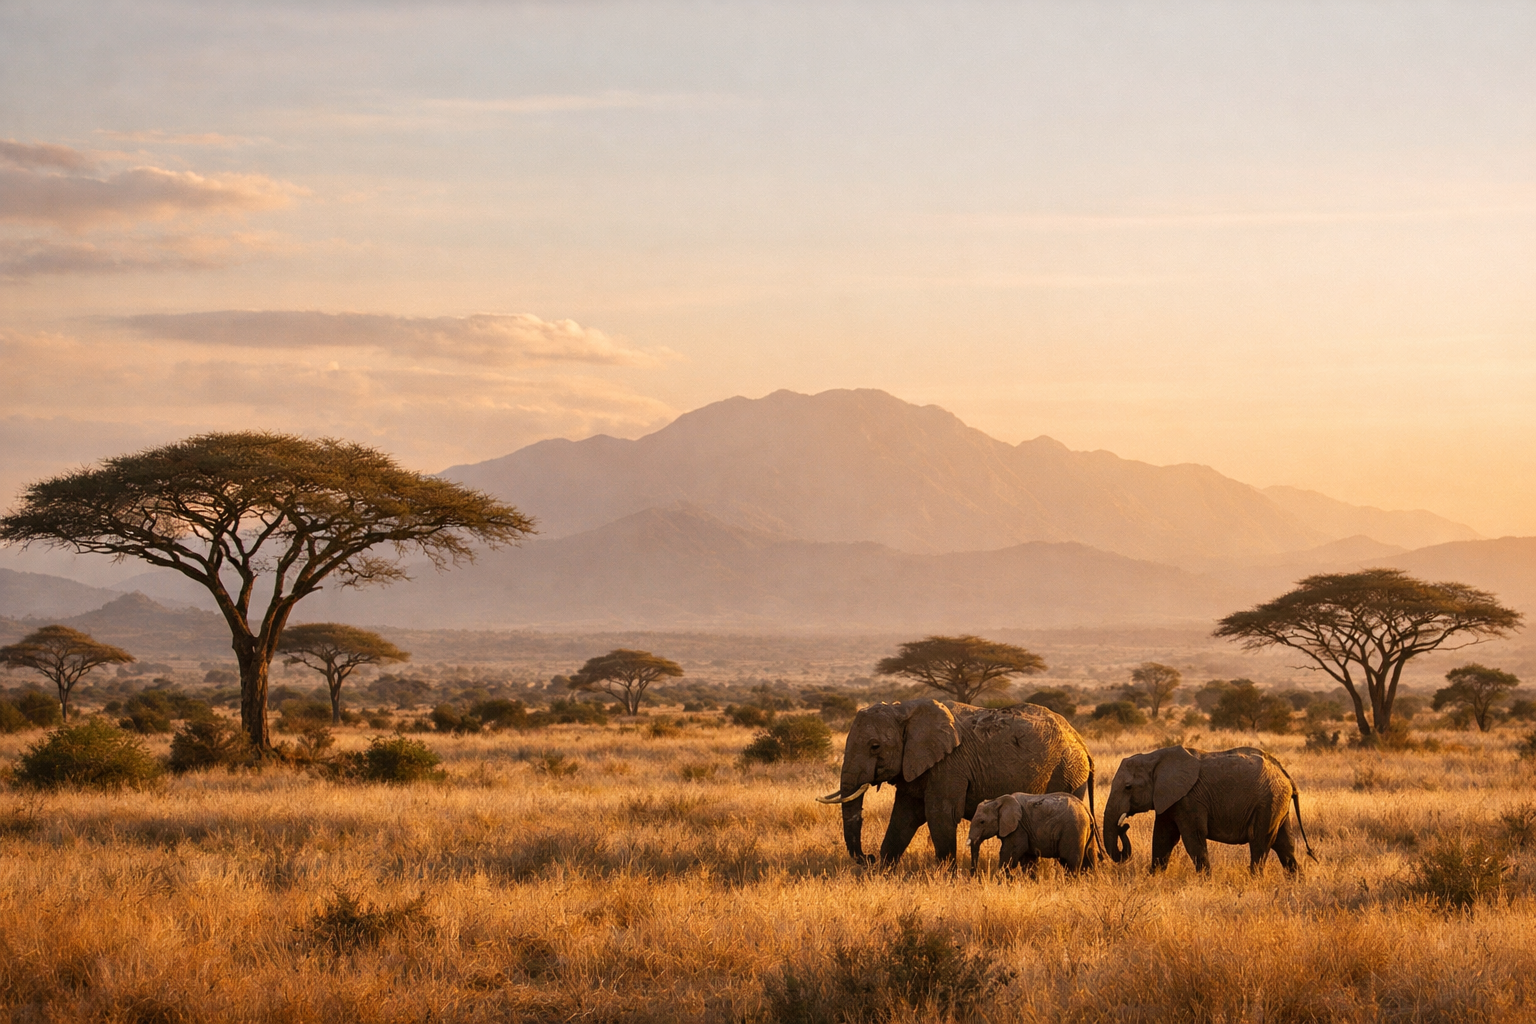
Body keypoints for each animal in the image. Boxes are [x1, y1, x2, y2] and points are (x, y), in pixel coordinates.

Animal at [816, 699, 1094, 868]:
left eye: (875, 747)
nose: (869, 857)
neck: (905, 710)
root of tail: (1081, 741)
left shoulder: (949, 765)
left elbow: (940, 815)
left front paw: (946, 878)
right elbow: (904, 818)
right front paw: (883, 873)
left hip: (1067, 771)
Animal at [969, 792, 1101, 874]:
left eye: (982, 822)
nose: (975, 876)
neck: (998, 800)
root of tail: (1086, 809)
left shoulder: (1018, 828)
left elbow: (1009, 853)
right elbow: (1028, 860)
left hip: (1073, 830)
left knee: (1070, 863)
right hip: (1085, 831)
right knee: (1089, 859)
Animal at [1102, 745, 1315, 874]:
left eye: (1128, 787)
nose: (1124, 826)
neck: (1154, 757)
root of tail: (1286, 776)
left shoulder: (1189, 799)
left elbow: (1193, 838)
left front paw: (1205, 882)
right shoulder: (1170, 799)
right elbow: (1163, 837)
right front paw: (1153, 878)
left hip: (1268, 802)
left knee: (1260, 842)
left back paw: (1254, 880)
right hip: (1277, 804)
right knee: (1284, 844)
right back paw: (1296, 884)